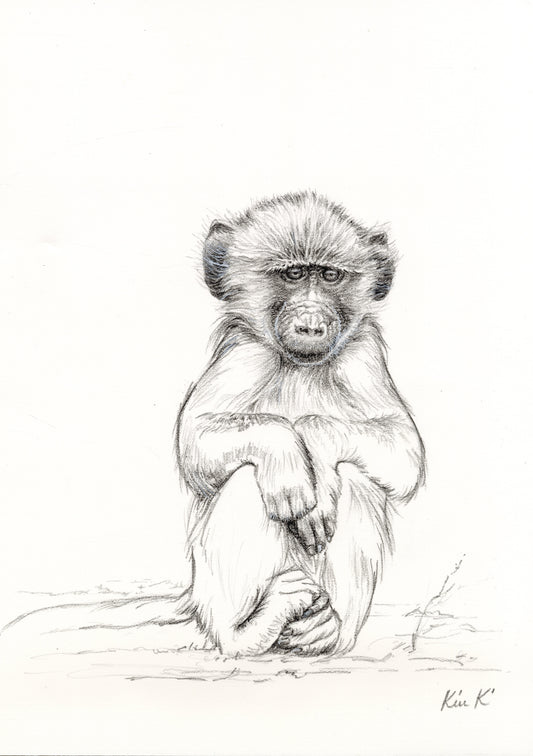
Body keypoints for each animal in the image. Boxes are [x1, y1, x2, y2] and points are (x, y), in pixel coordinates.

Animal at [176, 191, 425, 657]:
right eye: (292, 274)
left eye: (329, 275)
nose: (311, 324)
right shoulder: (245, 351)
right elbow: (195, 440)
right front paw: (288, 456)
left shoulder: (363, 352)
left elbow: (406, 452)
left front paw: (313, 439)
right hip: (212, 597)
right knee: (248, 477)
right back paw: (248, 632)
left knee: (355, 477)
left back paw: (328, 632)